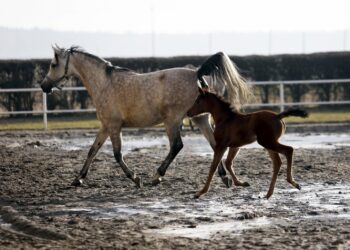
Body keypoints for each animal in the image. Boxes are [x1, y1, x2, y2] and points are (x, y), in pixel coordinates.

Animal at [40, 46, 252, 188]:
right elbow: (92, 150)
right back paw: (224, 178)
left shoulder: (114, 126)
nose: (43, 86)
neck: (105, 84)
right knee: (214, 145)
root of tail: (197, 73)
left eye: (53, 64)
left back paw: (156, 176)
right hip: (200, 119)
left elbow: (117, 154)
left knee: (177, 146)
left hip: (172, 121)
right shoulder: (105, 126)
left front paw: (136, 178)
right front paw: (78, 179)